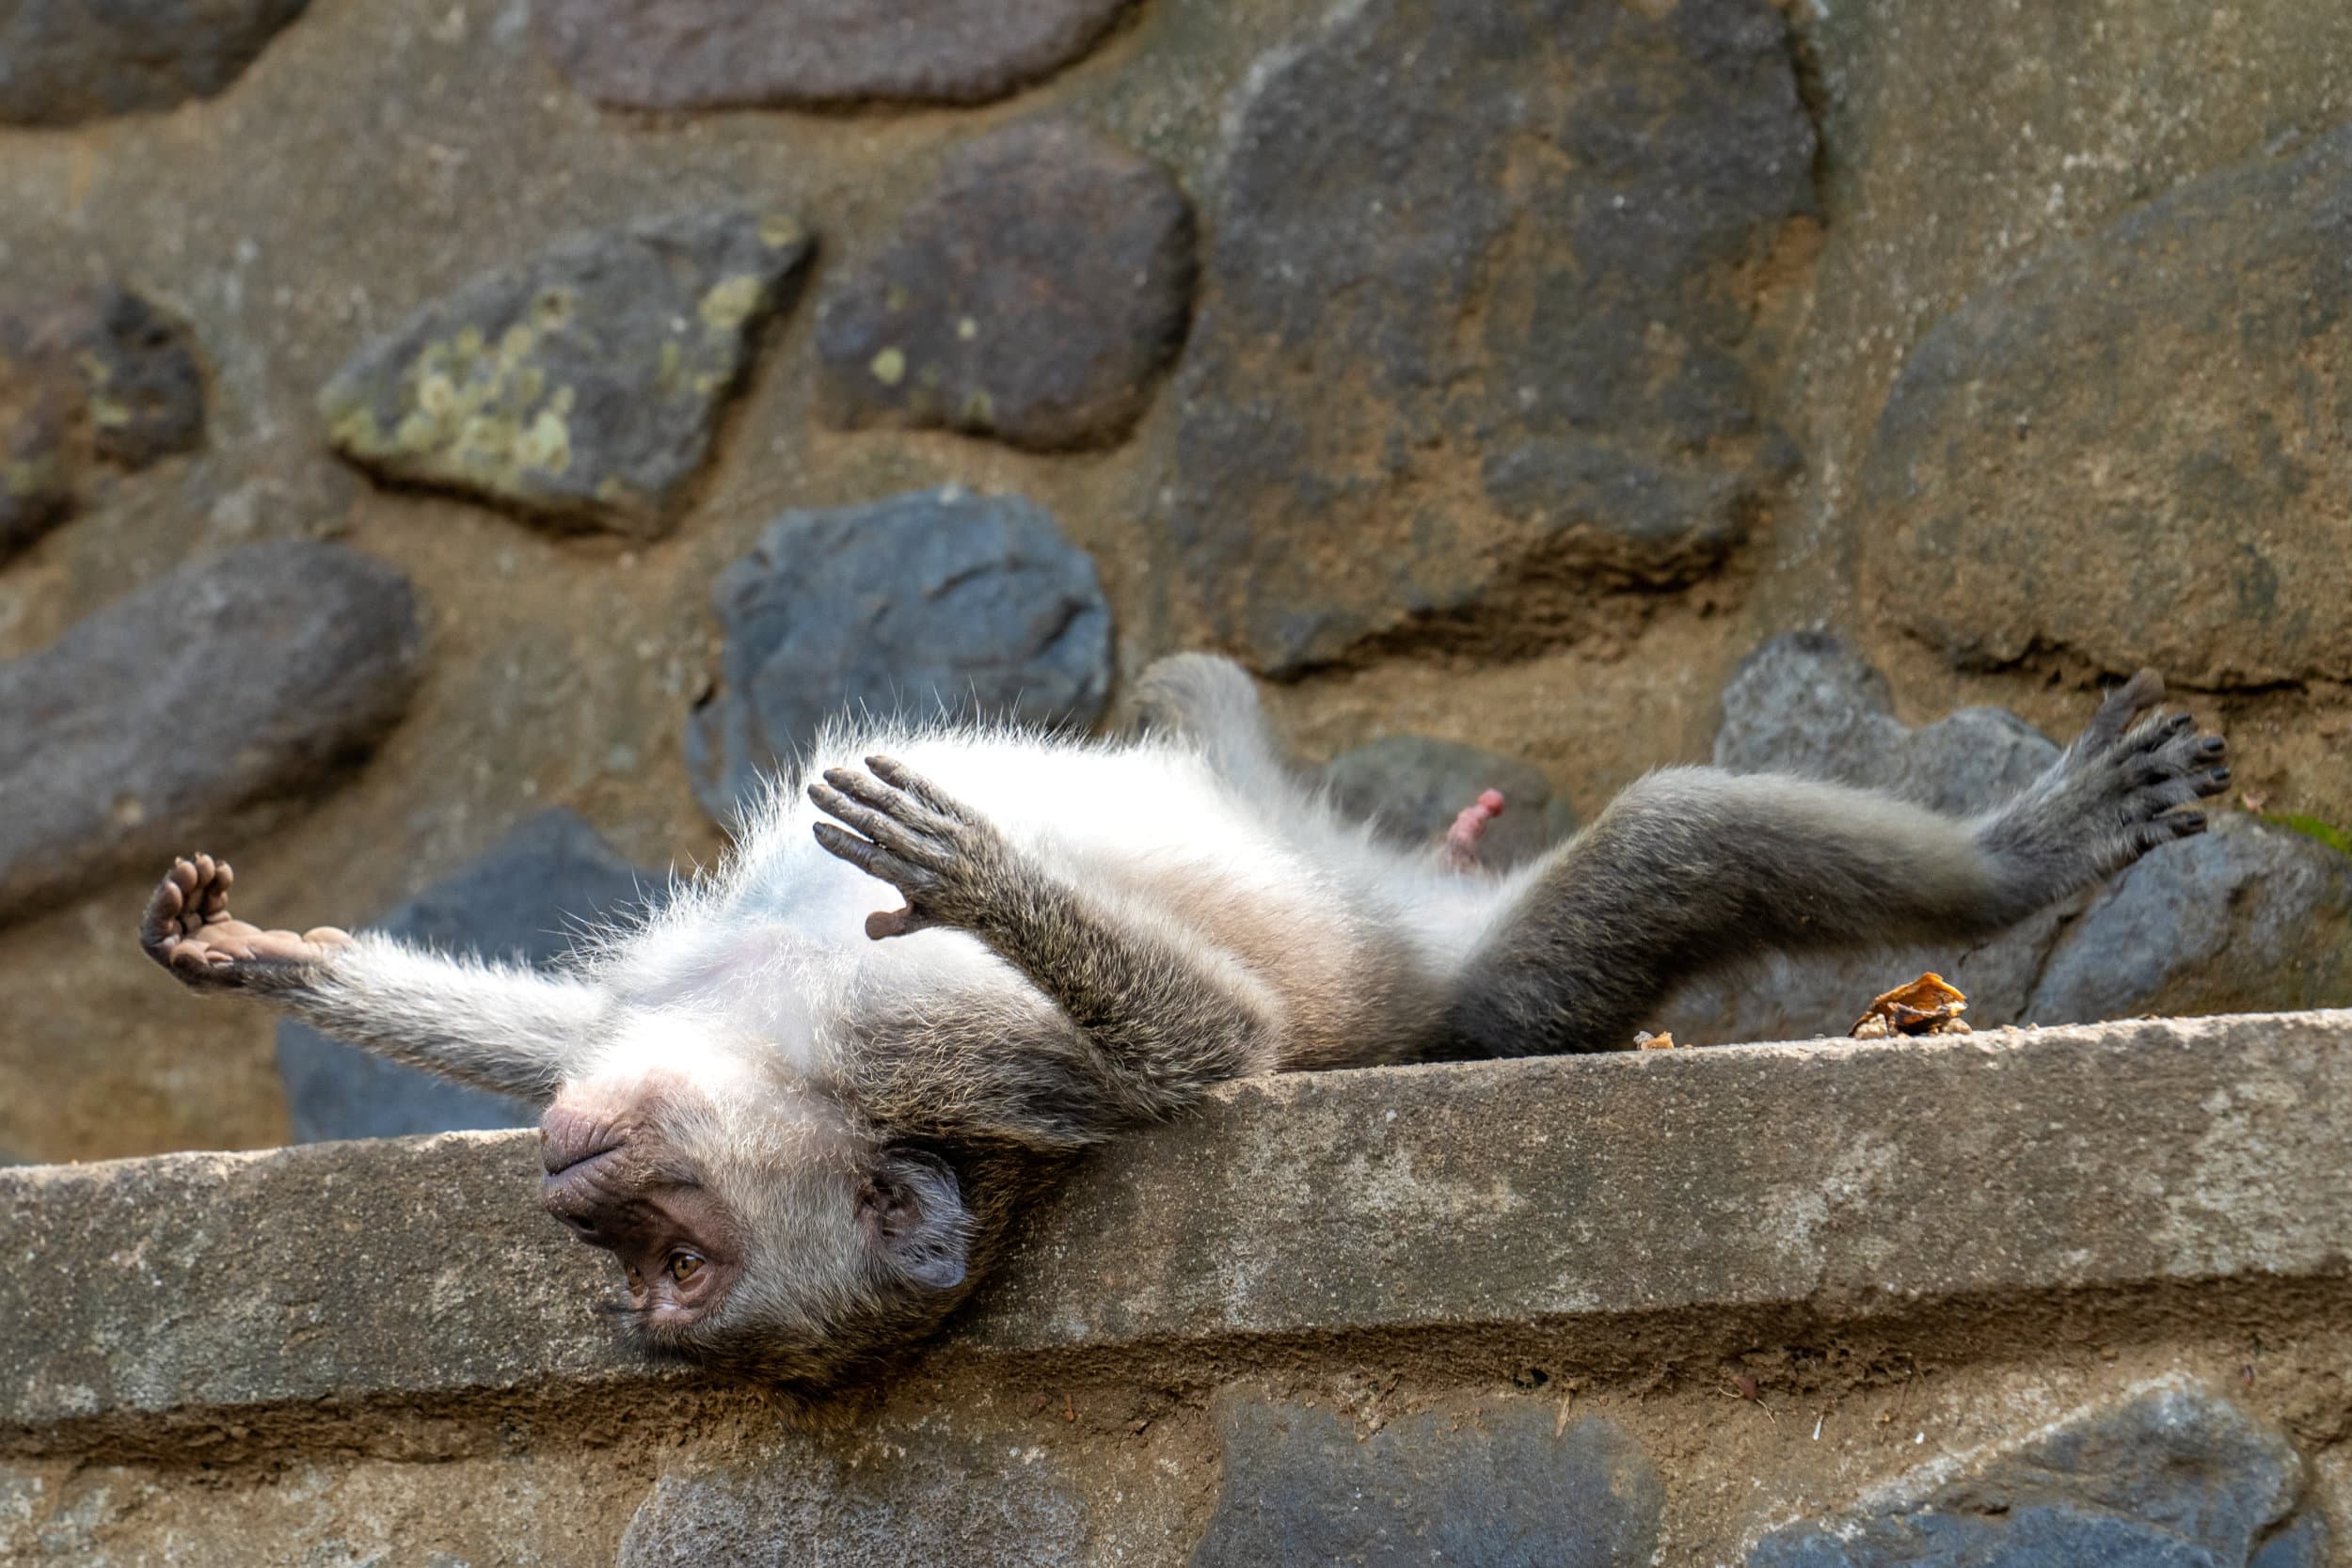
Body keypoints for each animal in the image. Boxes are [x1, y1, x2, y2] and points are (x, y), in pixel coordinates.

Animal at [138, 654, 2227, 1389]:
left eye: (663, 1237)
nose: (581, 1206)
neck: (779, 1043)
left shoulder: (856, 1030)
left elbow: (1199, 1038)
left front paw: (269, 956)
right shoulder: (863, 1052)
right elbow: (1214, 1044)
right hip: (1497, 982)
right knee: (1655, 851)